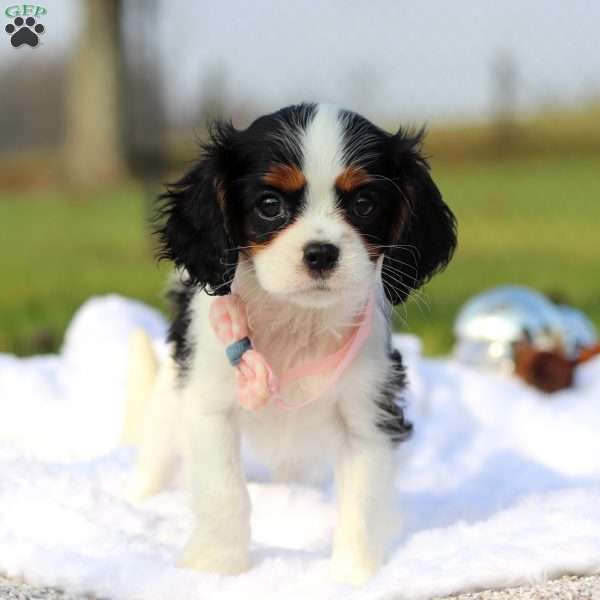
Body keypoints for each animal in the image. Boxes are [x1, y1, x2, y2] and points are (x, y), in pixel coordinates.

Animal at [129, 103, 458, 584]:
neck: (297, 321)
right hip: (166, 407)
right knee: (154, 457)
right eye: (270, 206)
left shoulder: (370, 416)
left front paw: (354, 575)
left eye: (364, 204)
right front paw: (216, 565)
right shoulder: (208, 409)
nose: (320, 253)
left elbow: (362, 501)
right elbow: (225, 491)